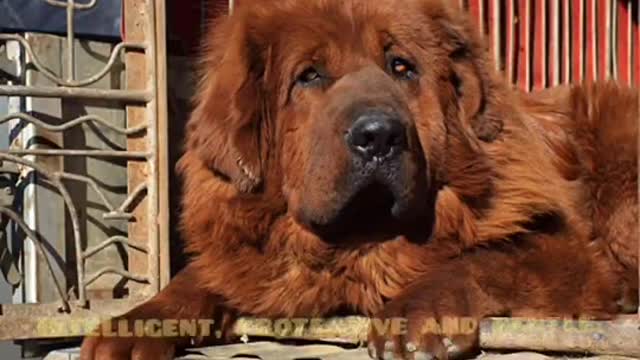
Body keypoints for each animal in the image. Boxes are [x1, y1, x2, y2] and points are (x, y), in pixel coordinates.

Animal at [82, 0, 636, 358]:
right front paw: (138, 323)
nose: (378, 135)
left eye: (401, 67)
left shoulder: (565, 250)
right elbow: (197, 275)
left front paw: (413, 316)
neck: (354, 241)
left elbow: (483, 258)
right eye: (309, 76)